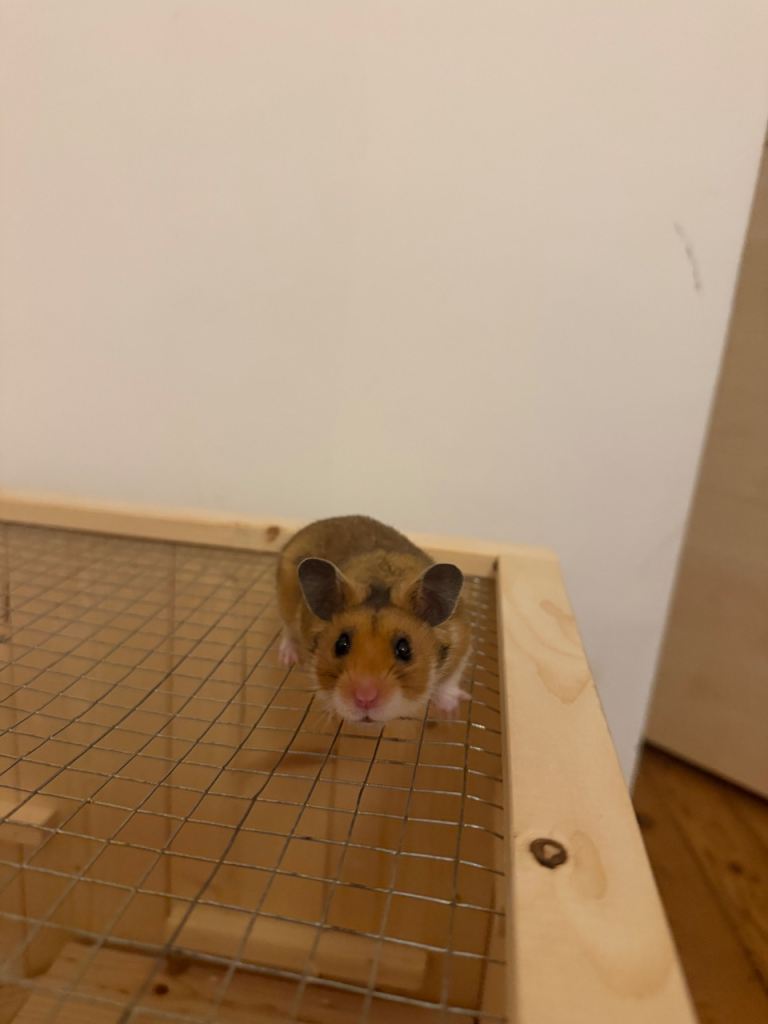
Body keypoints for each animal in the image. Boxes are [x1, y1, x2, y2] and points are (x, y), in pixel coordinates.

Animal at [276, 515, 471, 723]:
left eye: (404, 649)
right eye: (340, 645)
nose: (365, 698)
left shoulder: (462, 641)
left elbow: (449, 680)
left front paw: (450, 713)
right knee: (288, 631)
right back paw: (287, 659)